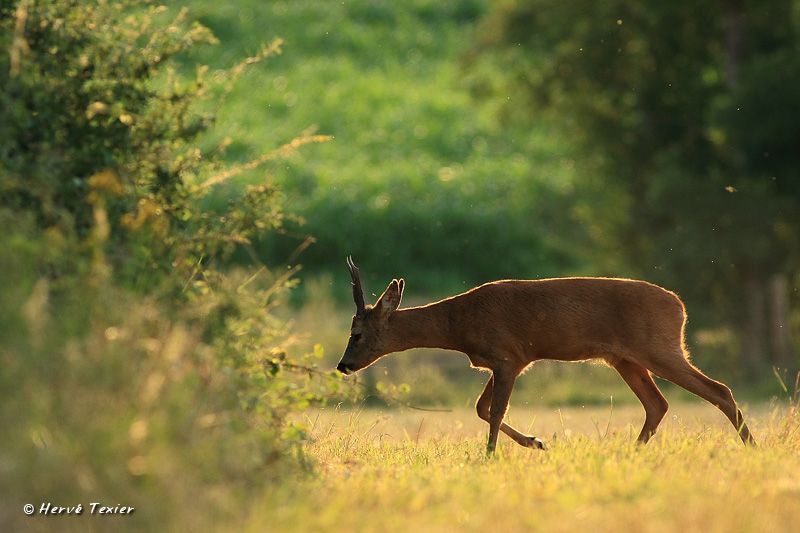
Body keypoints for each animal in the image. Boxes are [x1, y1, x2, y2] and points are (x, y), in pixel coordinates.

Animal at [336, 256, 756, 454]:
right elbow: (481, 408)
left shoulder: (509, 356)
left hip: (659, 347)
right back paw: (631, 453)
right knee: (658, 404)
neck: (458, 324)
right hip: (626, 359)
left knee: (718, 390)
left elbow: (493, 411)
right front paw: (537, 443)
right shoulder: (502, 362)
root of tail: (680, 306)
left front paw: (491, 457)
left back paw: (752, 448)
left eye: (356, 334)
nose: (343, 365)